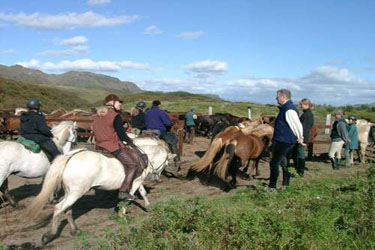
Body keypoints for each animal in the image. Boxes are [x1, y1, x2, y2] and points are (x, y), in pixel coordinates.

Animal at [25, 138, 174, 245]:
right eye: (166, 163)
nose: (157, 178)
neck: (143, 155)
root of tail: (71, 157)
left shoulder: (138, 181)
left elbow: (142, 193)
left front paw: (148, 206)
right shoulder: (136, 181)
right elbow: (129, 196)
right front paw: (123, 213)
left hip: (71, 192)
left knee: (67, 209)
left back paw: (74, 230)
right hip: (76, 192)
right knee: (59, 208)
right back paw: (50, 235)